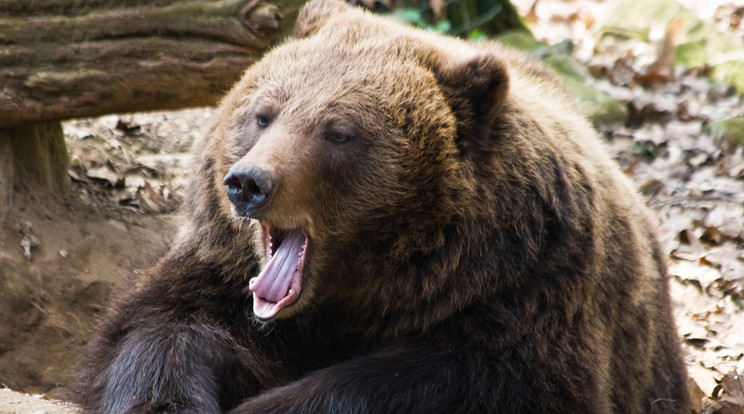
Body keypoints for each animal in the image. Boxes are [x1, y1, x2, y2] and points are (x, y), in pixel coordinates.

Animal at [74, 0, 692, 412]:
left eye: (338, 131)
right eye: (264, 113)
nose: (248, 183)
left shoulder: (527, 294)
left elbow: (466, 380)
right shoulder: (222, 276)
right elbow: (162, 329)